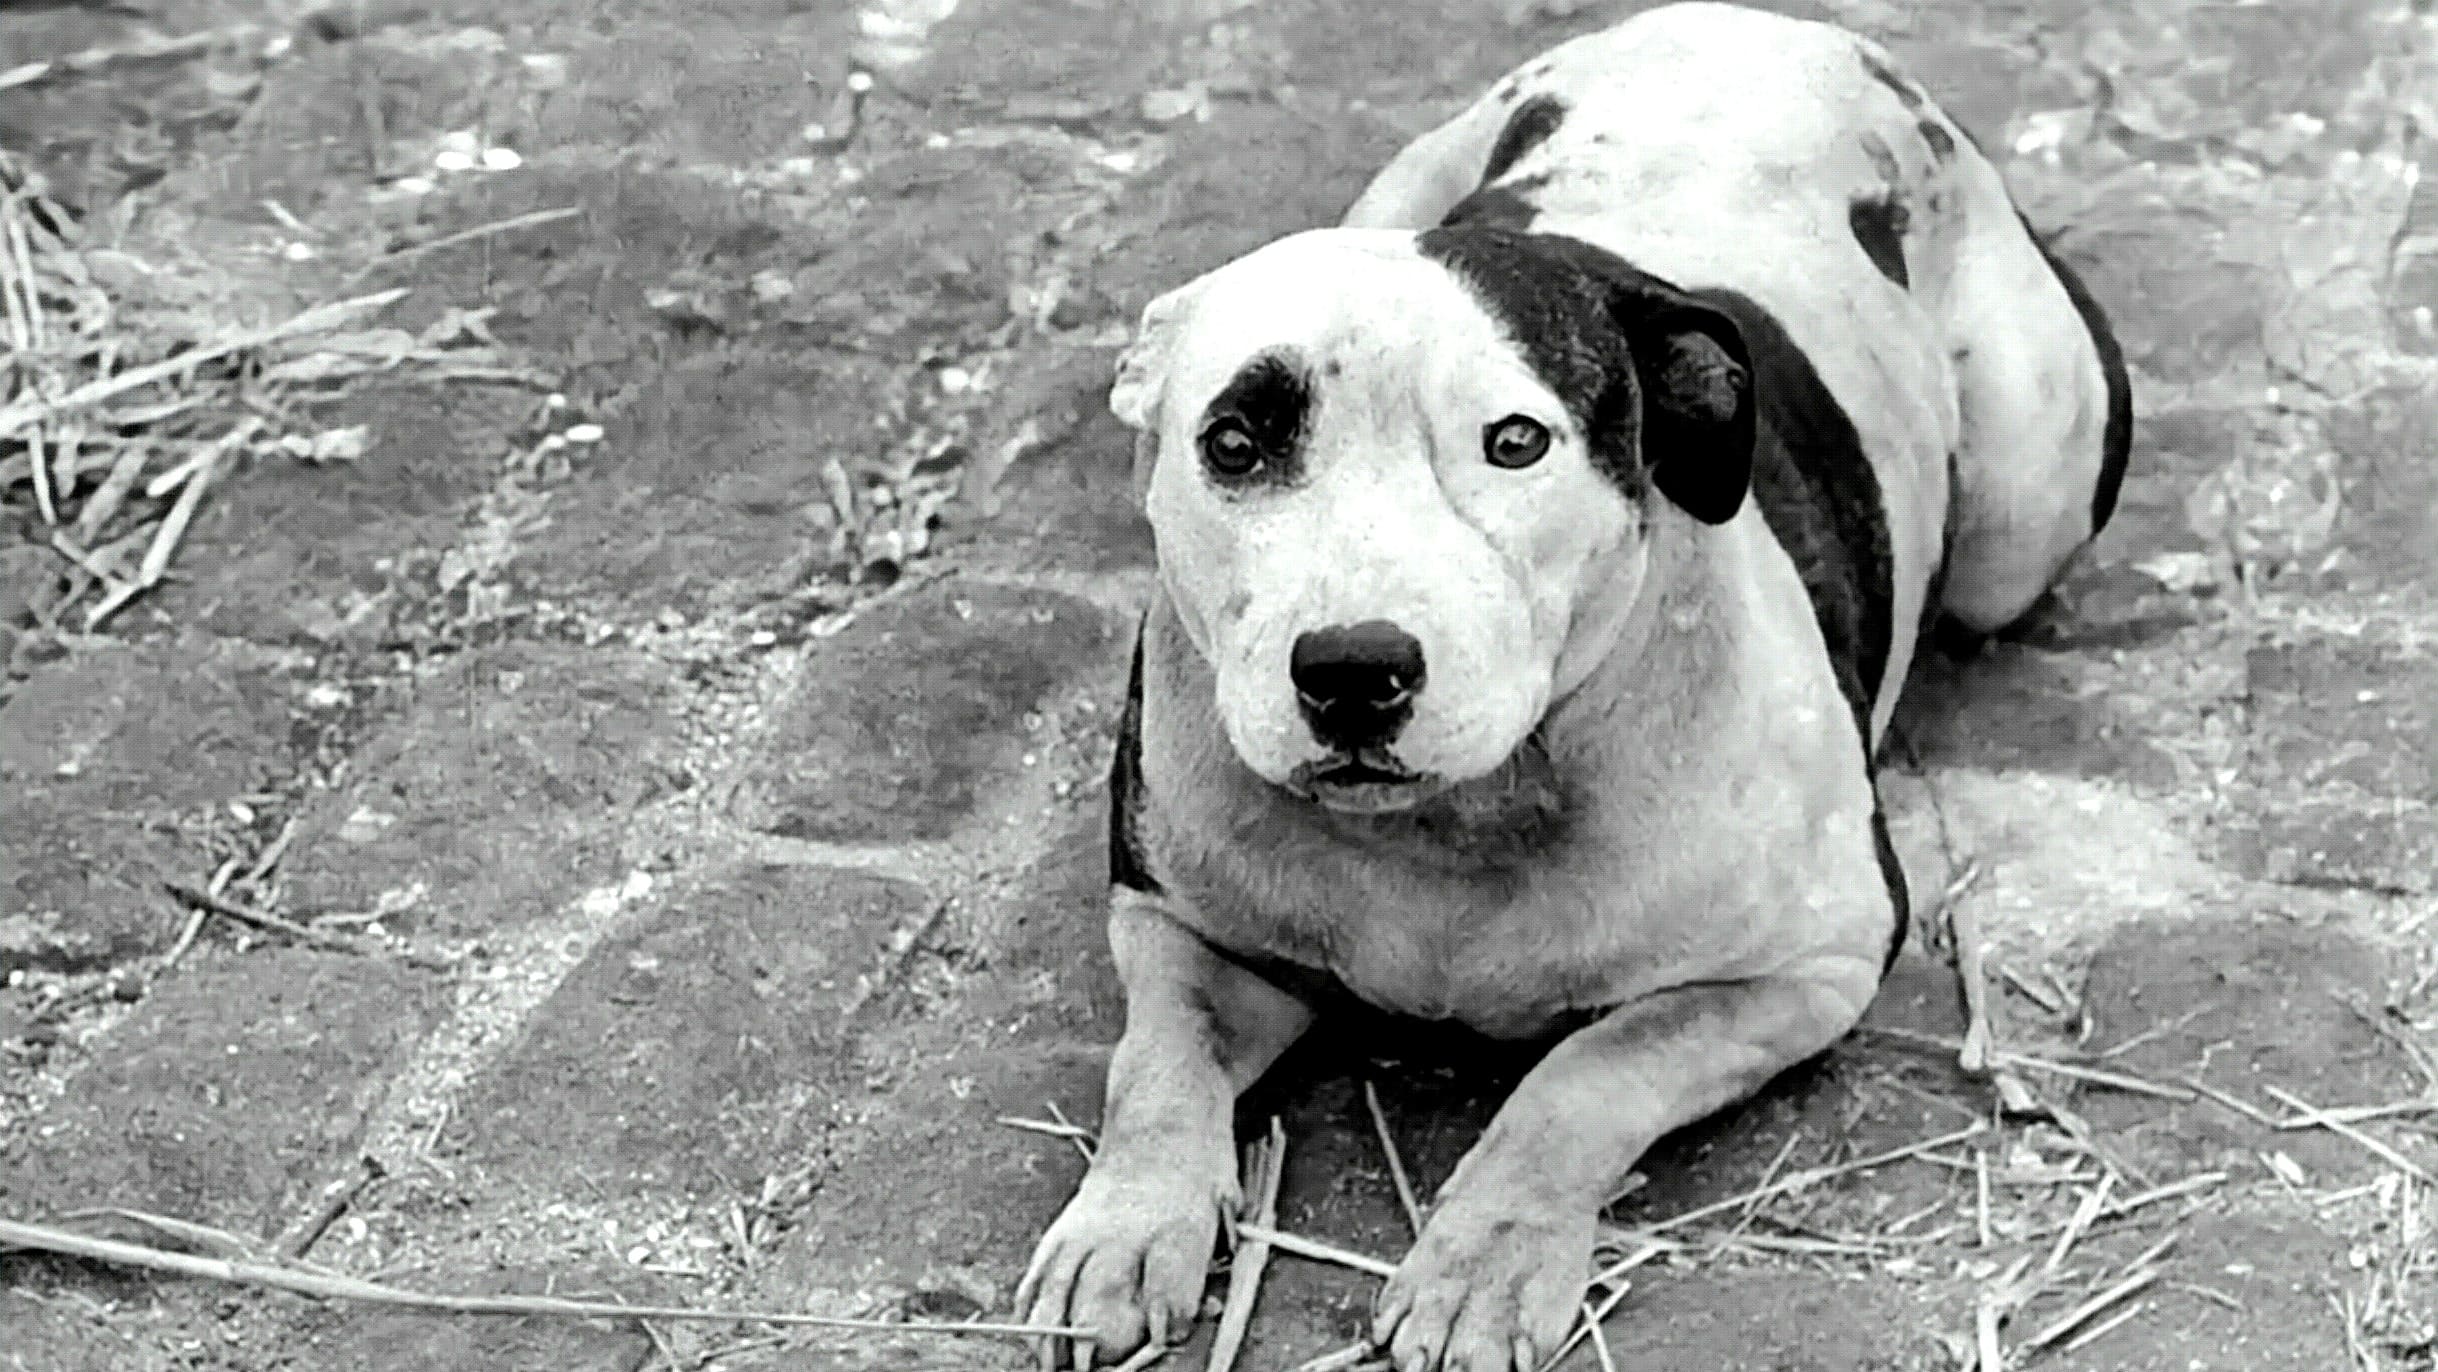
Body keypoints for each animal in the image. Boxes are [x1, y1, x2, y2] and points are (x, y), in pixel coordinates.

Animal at [1017, 5, 2131, 1369]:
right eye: (1231, 444)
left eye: (1515, 442)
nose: (1352, 668)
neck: (1461, 824)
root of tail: (1770, 29)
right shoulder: (1181, 918)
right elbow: (1155, 1062)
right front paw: (1126, 1225)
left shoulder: (1804, 965)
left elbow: (1585, 1076)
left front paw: (1485, 1260)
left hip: (2020, 510)